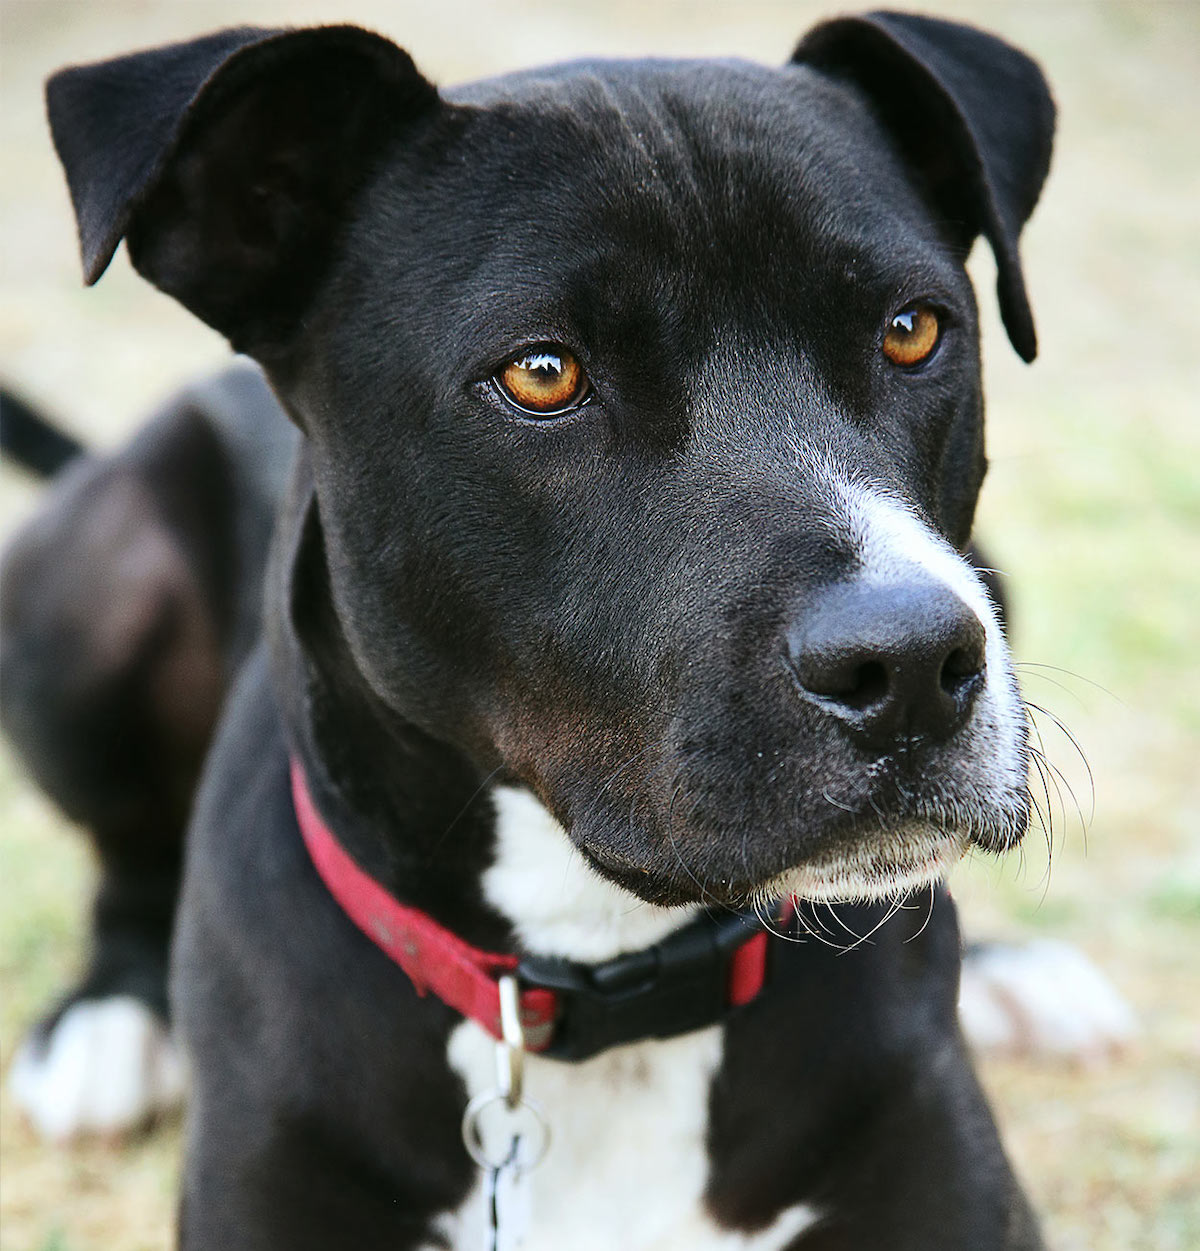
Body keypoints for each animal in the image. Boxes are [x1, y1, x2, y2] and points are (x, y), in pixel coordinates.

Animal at [11, 7, 1081, 1240]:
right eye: (541, 374)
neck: (603, 970)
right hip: (92, 593)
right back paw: (105, 1023)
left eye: (912, 330)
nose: (908, 661)